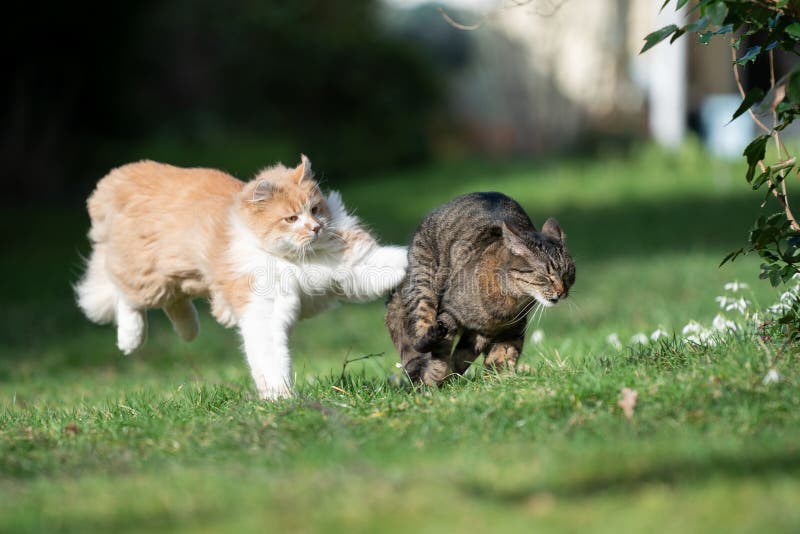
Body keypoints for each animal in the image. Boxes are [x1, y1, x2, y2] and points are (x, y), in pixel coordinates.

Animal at [76, 155, 406, 398]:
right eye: (291, 218)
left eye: (315, 209)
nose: (316, 228)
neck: (292, 259)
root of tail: (123, 175)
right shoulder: (263, 311)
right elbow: (271, 360)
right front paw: (280, 396)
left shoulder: (351, 266)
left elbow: (386, 263)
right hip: (148, 277)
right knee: (124, 295)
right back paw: (131, 340)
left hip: (176, 277)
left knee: (174, 303)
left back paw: (189, 331)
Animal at [388, 193, 576, 386]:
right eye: (547, 275)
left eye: (568, 274)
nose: (562, 292)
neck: (512, 302)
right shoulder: (450, 313)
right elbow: (440, 355)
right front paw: (433, 382)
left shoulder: (508, 330)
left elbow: (501, 355)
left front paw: (503, 380)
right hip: (423, 283)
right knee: (419, 335)